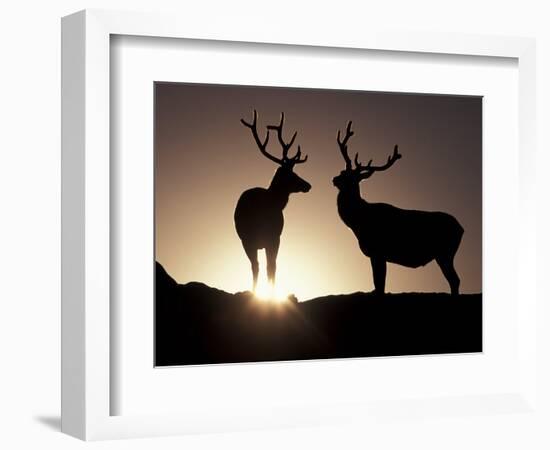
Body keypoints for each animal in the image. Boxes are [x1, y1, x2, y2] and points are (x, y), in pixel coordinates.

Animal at [332, 121, 466, 296]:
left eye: (352, 178)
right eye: (343, 172)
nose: (334, 179)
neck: (358, 222)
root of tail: (461, 228)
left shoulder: (378, 251)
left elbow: (379, 285)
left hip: (445, 252)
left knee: (455, 280)